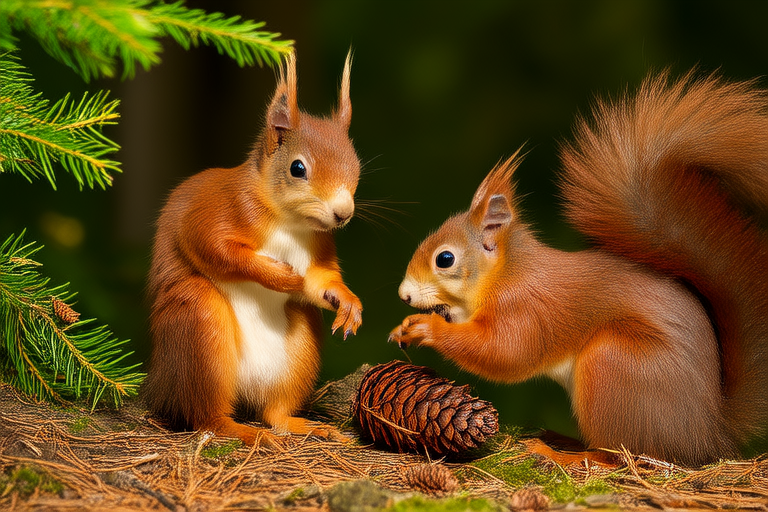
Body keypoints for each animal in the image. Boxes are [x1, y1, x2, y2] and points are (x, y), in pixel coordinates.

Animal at [144, 52, 363, 447]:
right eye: (297, 168)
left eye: (356, 166)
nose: (343, 213)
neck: (288, 221)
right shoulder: (219, 211)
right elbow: (218, 249)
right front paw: (278, 276)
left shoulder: (320, 243)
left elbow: (320, 280)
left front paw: (347, 301)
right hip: (201, 326)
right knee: (208, 417)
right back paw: (242, 431)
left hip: (298, 350)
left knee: (274, 412)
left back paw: (301, 425)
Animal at [389, 72, 768, 465]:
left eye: (444, 259)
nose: (403, 294)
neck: (505, 275)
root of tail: (708, 436)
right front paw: (405, 326)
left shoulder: (525, 308)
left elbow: (505, 353)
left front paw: (427, 328)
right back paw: (560, 438)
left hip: (614, 365)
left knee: (614, 455)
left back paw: (560, 454)